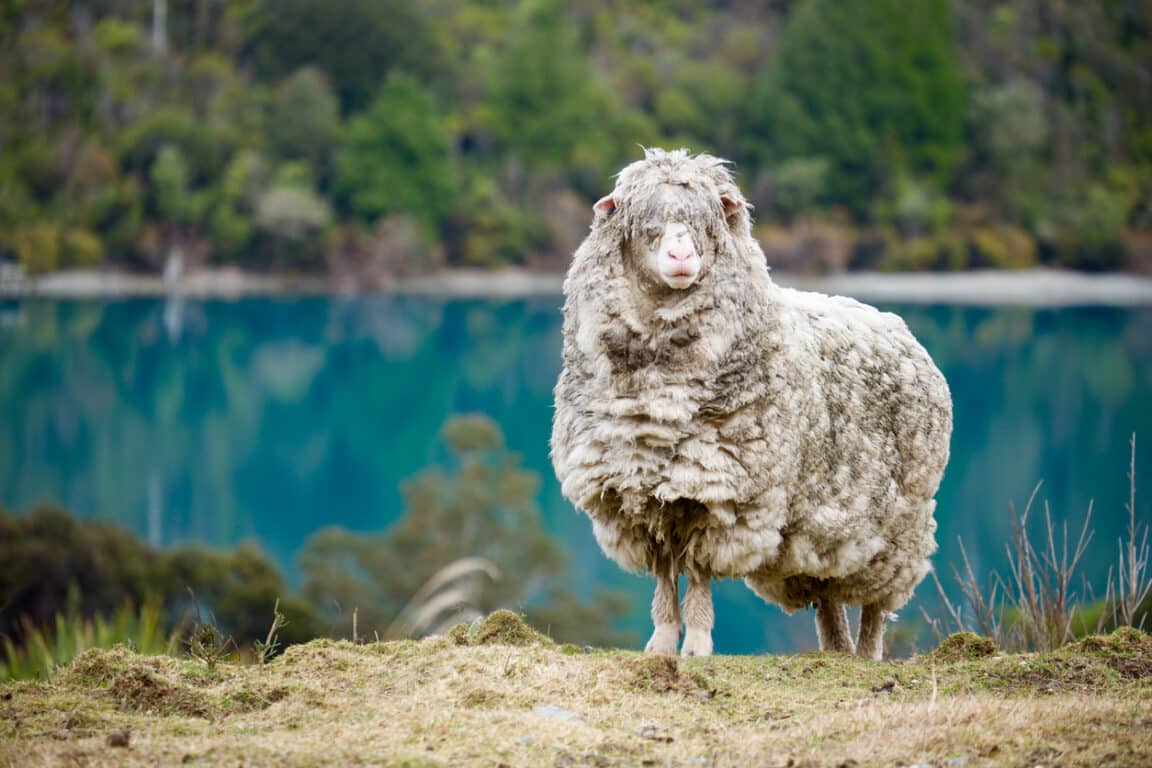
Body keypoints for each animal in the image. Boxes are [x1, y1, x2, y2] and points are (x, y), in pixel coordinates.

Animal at [550, 148, 952, 659]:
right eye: (643, 224)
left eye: (707, 225)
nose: (681, 257)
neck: (660, 399)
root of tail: (894, 323)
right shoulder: (641, 496)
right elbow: (664, 577)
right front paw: (661, 641)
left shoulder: (717, 493)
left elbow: (698, 575)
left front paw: (697, 644)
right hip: (819, 537)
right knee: (827, 596)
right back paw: (835, 651)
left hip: (896, 530)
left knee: (876, 604)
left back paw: (865, 654)